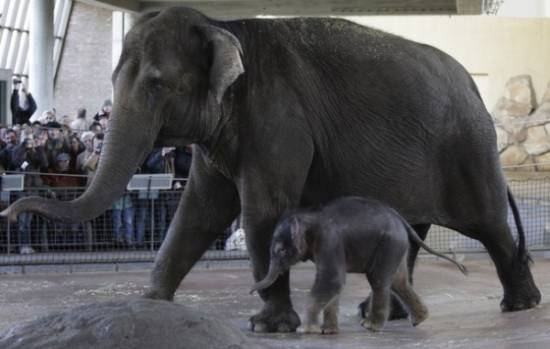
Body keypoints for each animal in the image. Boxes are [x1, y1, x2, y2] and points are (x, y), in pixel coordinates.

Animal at [252, 196, 468, 332]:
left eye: (280, 251)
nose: (251, 290)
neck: (309, 217)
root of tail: (401, 220)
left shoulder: (329, 242)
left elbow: (332, 280)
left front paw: (309, 329)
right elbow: (333, 284)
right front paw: (328, 331)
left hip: (388, 244)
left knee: (379, 280)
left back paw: (370, 326)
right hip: (396, 246)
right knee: (399, 281)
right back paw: (418, 320)